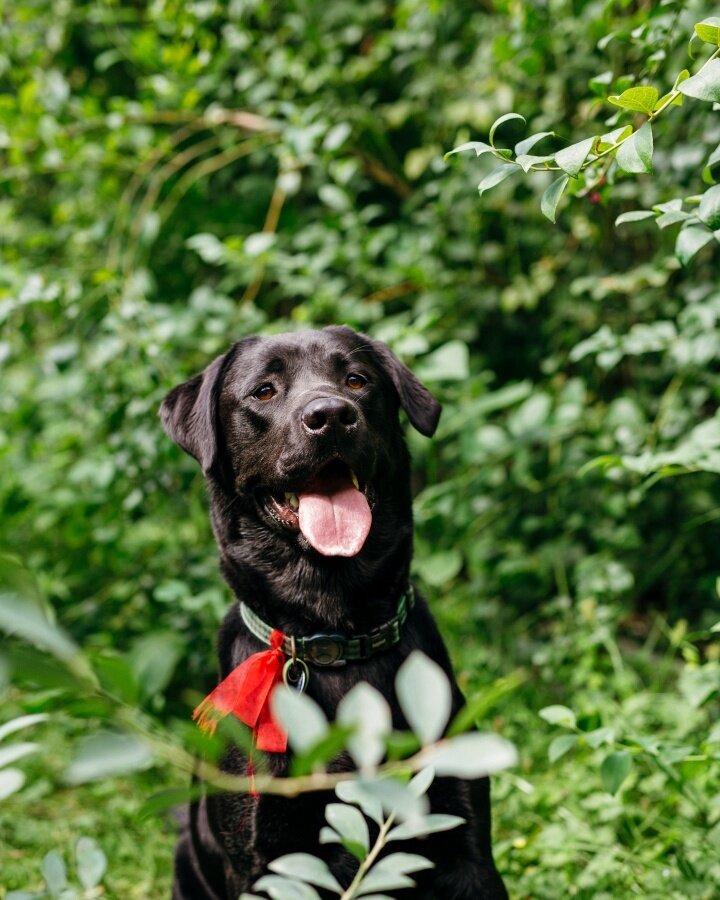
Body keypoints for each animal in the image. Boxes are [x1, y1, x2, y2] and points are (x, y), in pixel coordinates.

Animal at [160, 326, 510, 900]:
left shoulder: (466, 847)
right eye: (263, 391)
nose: (329, 414)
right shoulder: (266, 858)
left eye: (356, 380)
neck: (336, 632)